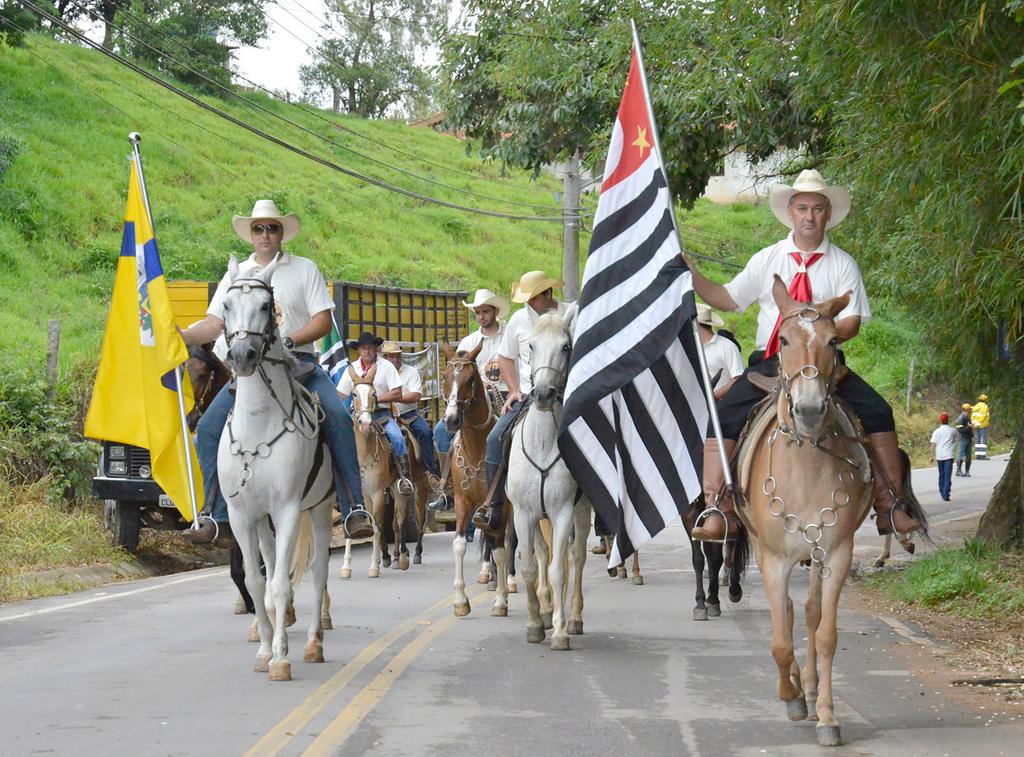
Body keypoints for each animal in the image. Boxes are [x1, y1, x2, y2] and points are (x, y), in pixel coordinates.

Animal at [218, 257, 333, 684]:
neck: (259, 424)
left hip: (319, 509)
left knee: (319, 571)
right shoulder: (242, 515)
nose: (243, 355)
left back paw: (314, 643)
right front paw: (266, 651)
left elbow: (282, 584)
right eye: (226, 305)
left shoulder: (287, 511)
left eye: (266, 306)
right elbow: (256, 581)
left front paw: (282, 659)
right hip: (264, 521)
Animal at [438, 340, 509, 618]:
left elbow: (500, 550)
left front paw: (500, 600)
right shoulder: (462, 502)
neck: (479, 447)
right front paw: (460, 600)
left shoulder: (500, 506)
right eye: (445, 377)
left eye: (470, 380)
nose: (451, 420)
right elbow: (459, 544)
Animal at [505, 311, 593, 647]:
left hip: (582, 512)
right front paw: (534, 624)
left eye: (566, 346)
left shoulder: (563, 511)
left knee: (576, 558)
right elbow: (530, 567)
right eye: (530, 345)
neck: (542, 445)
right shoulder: (523, 513)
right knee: (544, 554)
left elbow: (559, 570)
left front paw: (559, 631)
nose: (542, 394)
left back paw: (574, 617)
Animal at [737, 276, 921, 745]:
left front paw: (826, 716)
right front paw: (791, 697)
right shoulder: (773, 559)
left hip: (817, 554)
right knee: (787, 615)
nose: (808, 408)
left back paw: (810, 684)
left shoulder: (836, 553)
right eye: (783, 339)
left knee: (810, 612)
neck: (805, 463)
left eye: (833, 341)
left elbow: (825, 634)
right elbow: (779, 640)